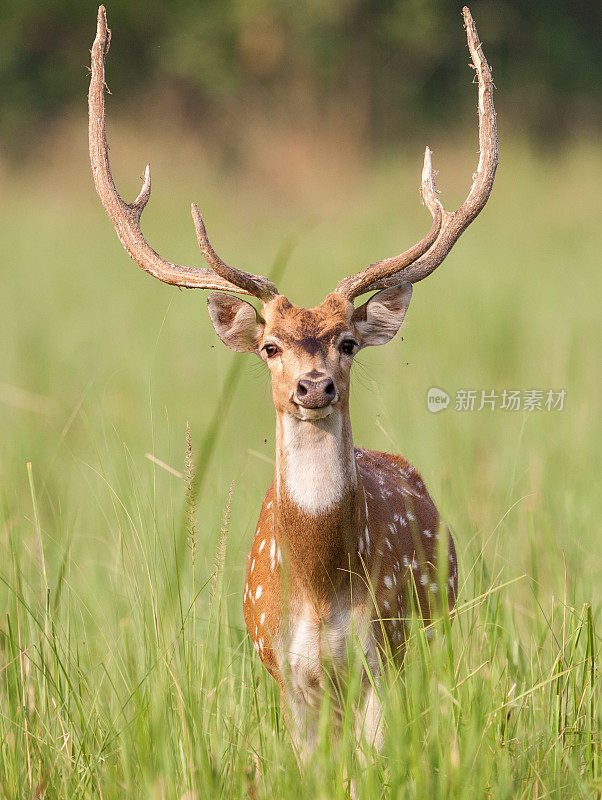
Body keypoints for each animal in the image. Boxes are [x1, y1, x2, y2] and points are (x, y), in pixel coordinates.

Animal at [86, 4, 494, 756]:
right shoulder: (282, 669)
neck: (321, 588)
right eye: (271, 347)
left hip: (438, 627)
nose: (313, 387)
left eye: (348, 342)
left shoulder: (382, 656)